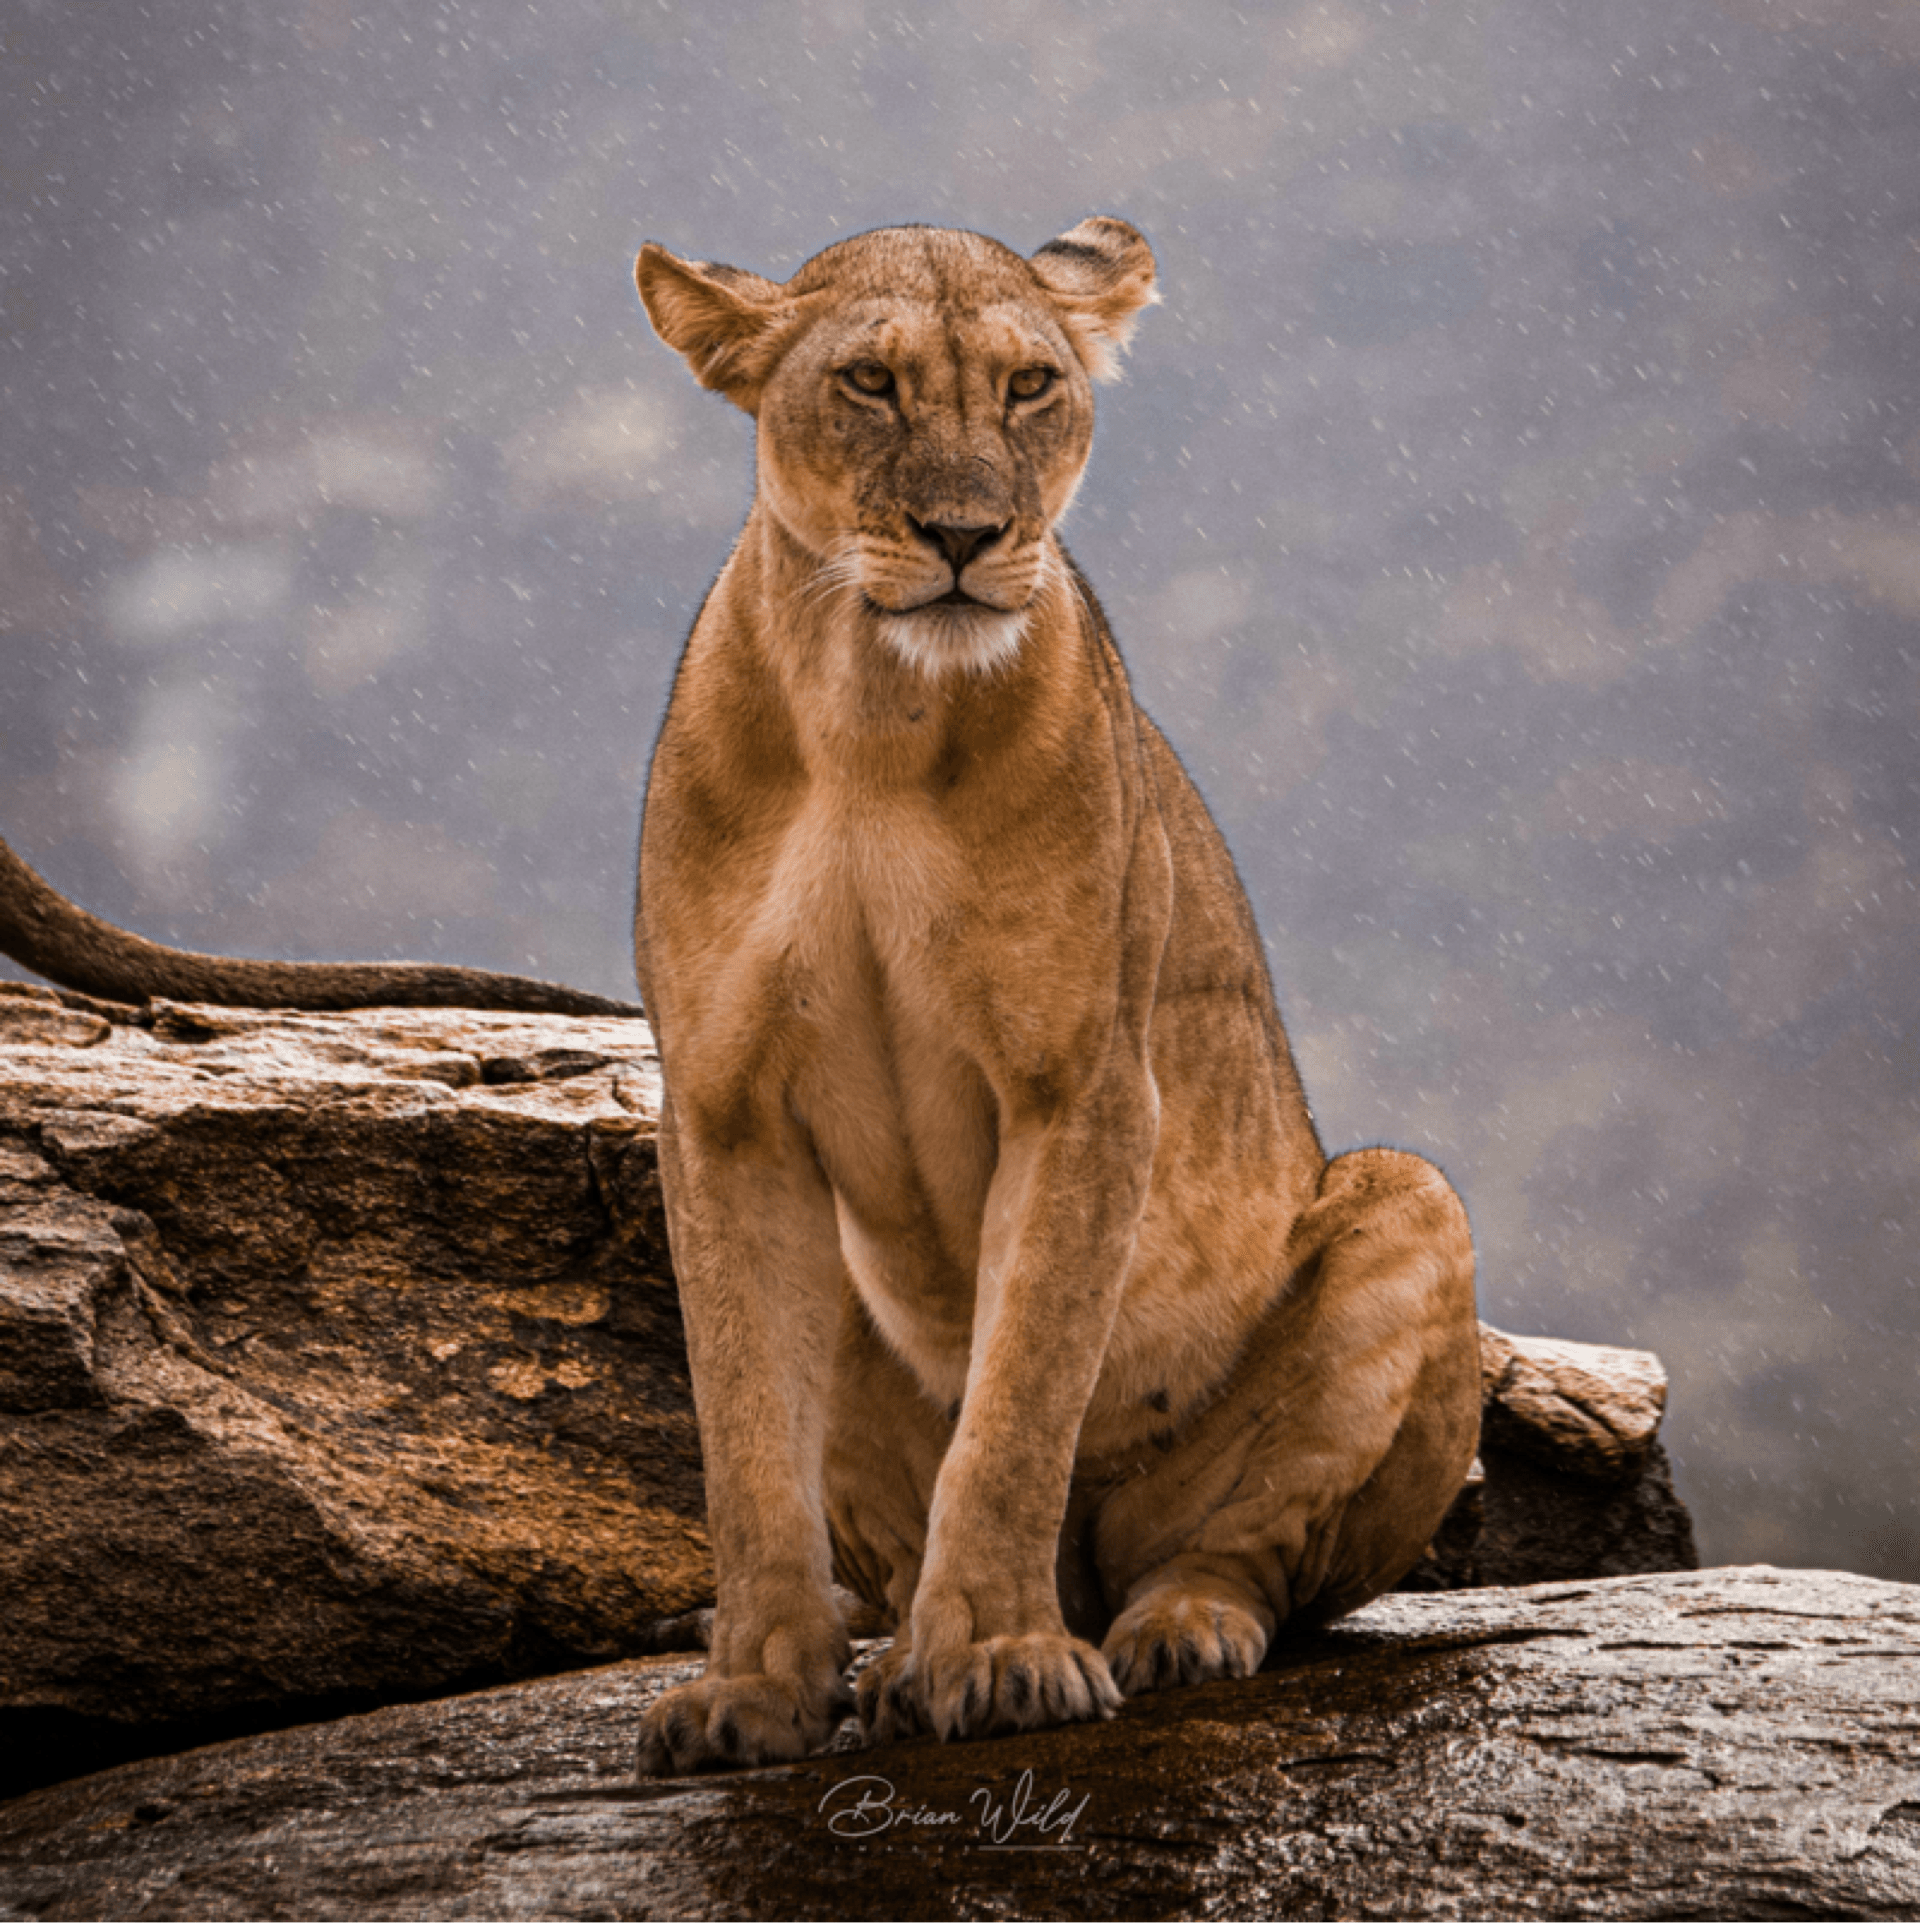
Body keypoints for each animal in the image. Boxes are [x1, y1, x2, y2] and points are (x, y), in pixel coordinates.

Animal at [628, 217, 1481, 1774]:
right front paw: (753, 1686)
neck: (872, 719)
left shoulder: (1081, 1080)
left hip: (1408, 1198)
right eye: (869, 382)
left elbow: (1021, 1395)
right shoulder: (720, 1111)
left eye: (1030, 386)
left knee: (1247, 1560)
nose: (966, 537)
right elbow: (743, 1432)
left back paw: (1168, 1627)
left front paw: (999, 1655)